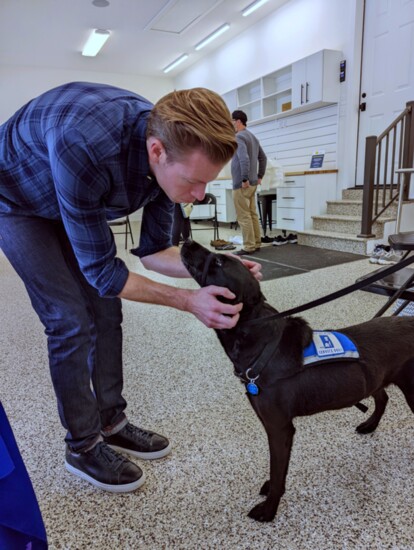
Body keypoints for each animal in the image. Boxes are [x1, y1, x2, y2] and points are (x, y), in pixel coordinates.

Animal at [182, 244, 414, 524]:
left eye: (217, 262)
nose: (184, 242)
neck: (257, 338)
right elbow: (277, 471)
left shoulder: (279, 427)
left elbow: (277, 471)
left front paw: (269, 509)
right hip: (375, 377)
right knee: (383, 398)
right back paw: (370, 425)